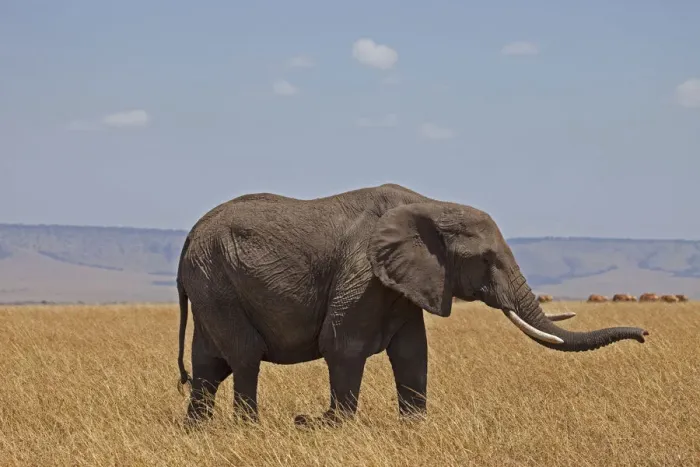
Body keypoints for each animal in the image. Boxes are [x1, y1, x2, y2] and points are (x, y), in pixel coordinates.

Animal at [175, 183, 649, 428]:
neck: (433, 205)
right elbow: (342, 345)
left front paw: (415, 427)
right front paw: (332, 427)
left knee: (208, 365)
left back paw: (199, 430)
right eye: (486, 260)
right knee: (245, 357)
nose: (645, 334)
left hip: (210, 284)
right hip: (217, 281)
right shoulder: (362, 273)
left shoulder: (404, 282)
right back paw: (248, 429)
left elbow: (412, 354)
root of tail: (190, 235)